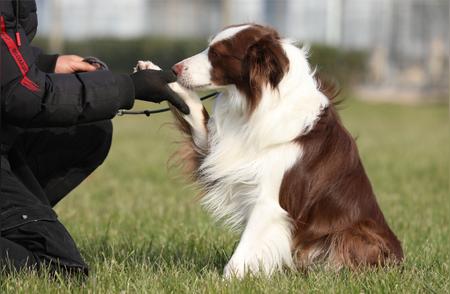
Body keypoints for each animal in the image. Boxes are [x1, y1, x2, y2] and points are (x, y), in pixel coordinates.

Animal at [135, 23, 402, 278]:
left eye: (217, 54)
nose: (175, 68)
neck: (258, 103)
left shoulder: (270, 202)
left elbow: (244, 251)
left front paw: (226, 280)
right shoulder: (217, 151)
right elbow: (195, 113)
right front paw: (161, 79)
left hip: (355, 233)